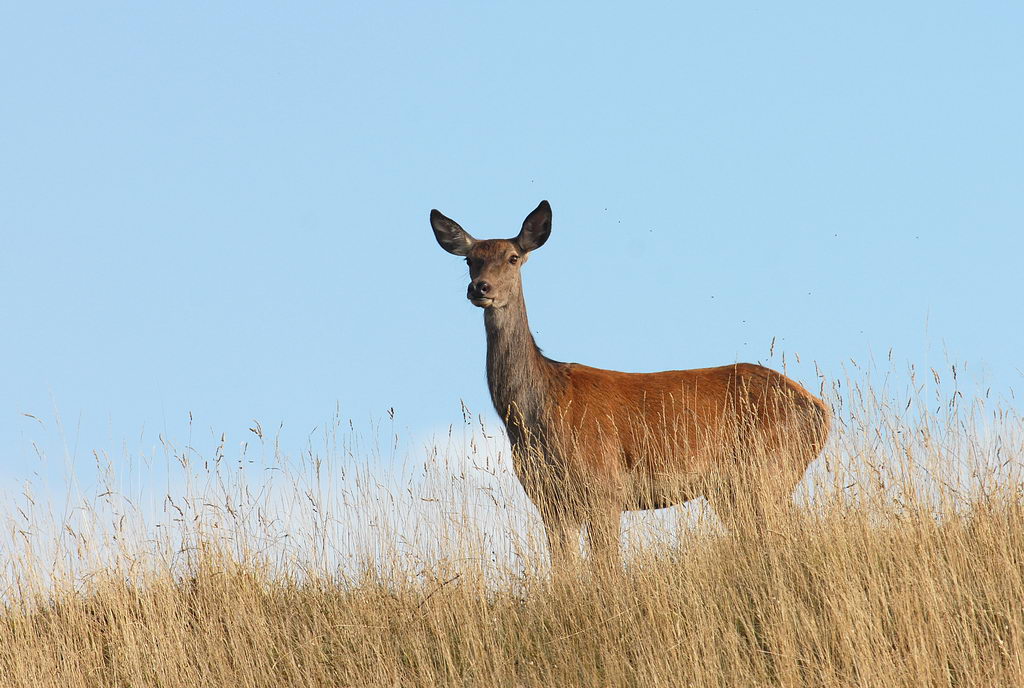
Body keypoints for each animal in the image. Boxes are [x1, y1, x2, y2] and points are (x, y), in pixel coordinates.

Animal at [428, 201, 827, 565]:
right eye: (470, 260)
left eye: (512, 257)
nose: (480, 287)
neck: (536, 415)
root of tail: (820, 410)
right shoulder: (549, 501)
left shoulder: (604, 488)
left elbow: (607, 568)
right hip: (734, 487)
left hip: (767, 469)